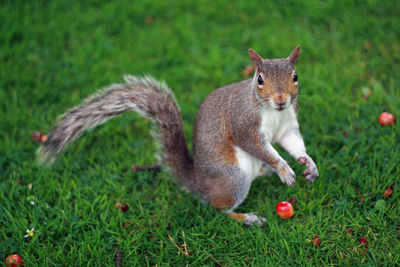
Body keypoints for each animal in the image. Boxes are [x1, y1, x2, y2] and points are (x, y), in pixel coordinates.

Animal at [37, 46, 318, 228]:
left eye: (295, 76)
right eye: (260, 80)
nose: (281, 99)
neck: (272, 111)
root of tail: (198, 182)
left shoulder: (287, 124)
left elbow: (292, 143)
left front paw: (308, 164)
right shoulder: (244, 125)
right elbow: (260, 148)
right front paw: (283, 169)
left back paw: (264, 174)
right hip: (233, 179)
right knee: (217, 209)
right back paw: (247, 217)